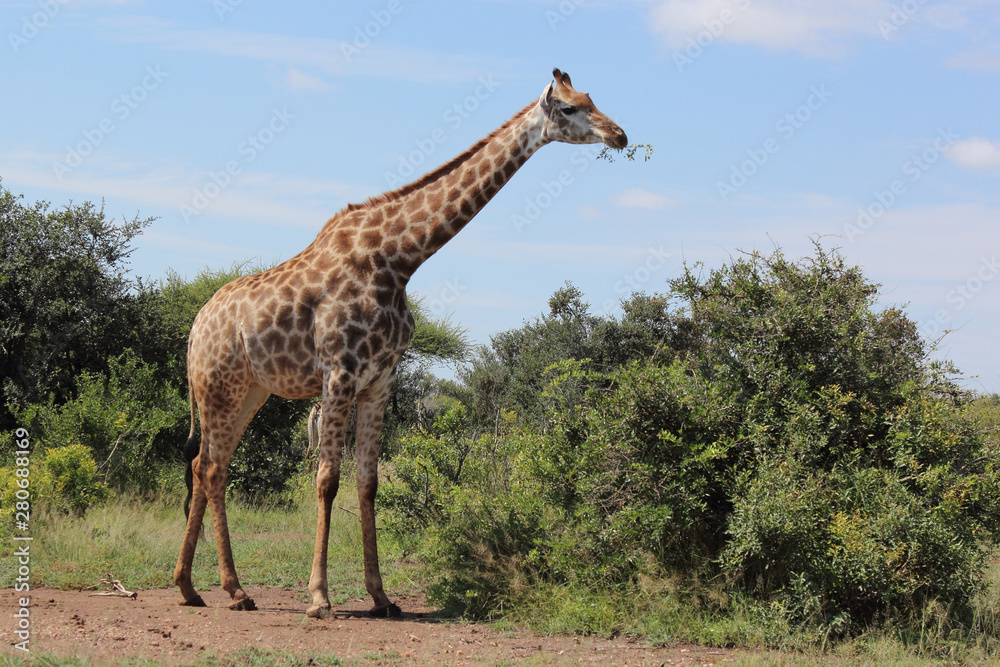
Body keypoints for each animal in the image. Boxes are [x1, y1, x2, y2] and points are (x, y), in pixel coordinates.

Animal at [174, 68, 627, 618]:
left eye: (590, 97)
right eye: (568, 108)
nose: (620, 135)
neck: (400, 258)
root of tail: (194, 329)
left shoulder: (380, 379)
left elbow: (368, 482)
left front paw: (381, 596)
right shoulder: (340, 372)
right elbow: (327, 479)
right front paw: (319, 597)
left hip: (249, 392)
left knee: (205, 466)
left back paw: (193, 587)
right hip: (220, 387)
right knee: (213, 467)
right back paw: (233, 590)